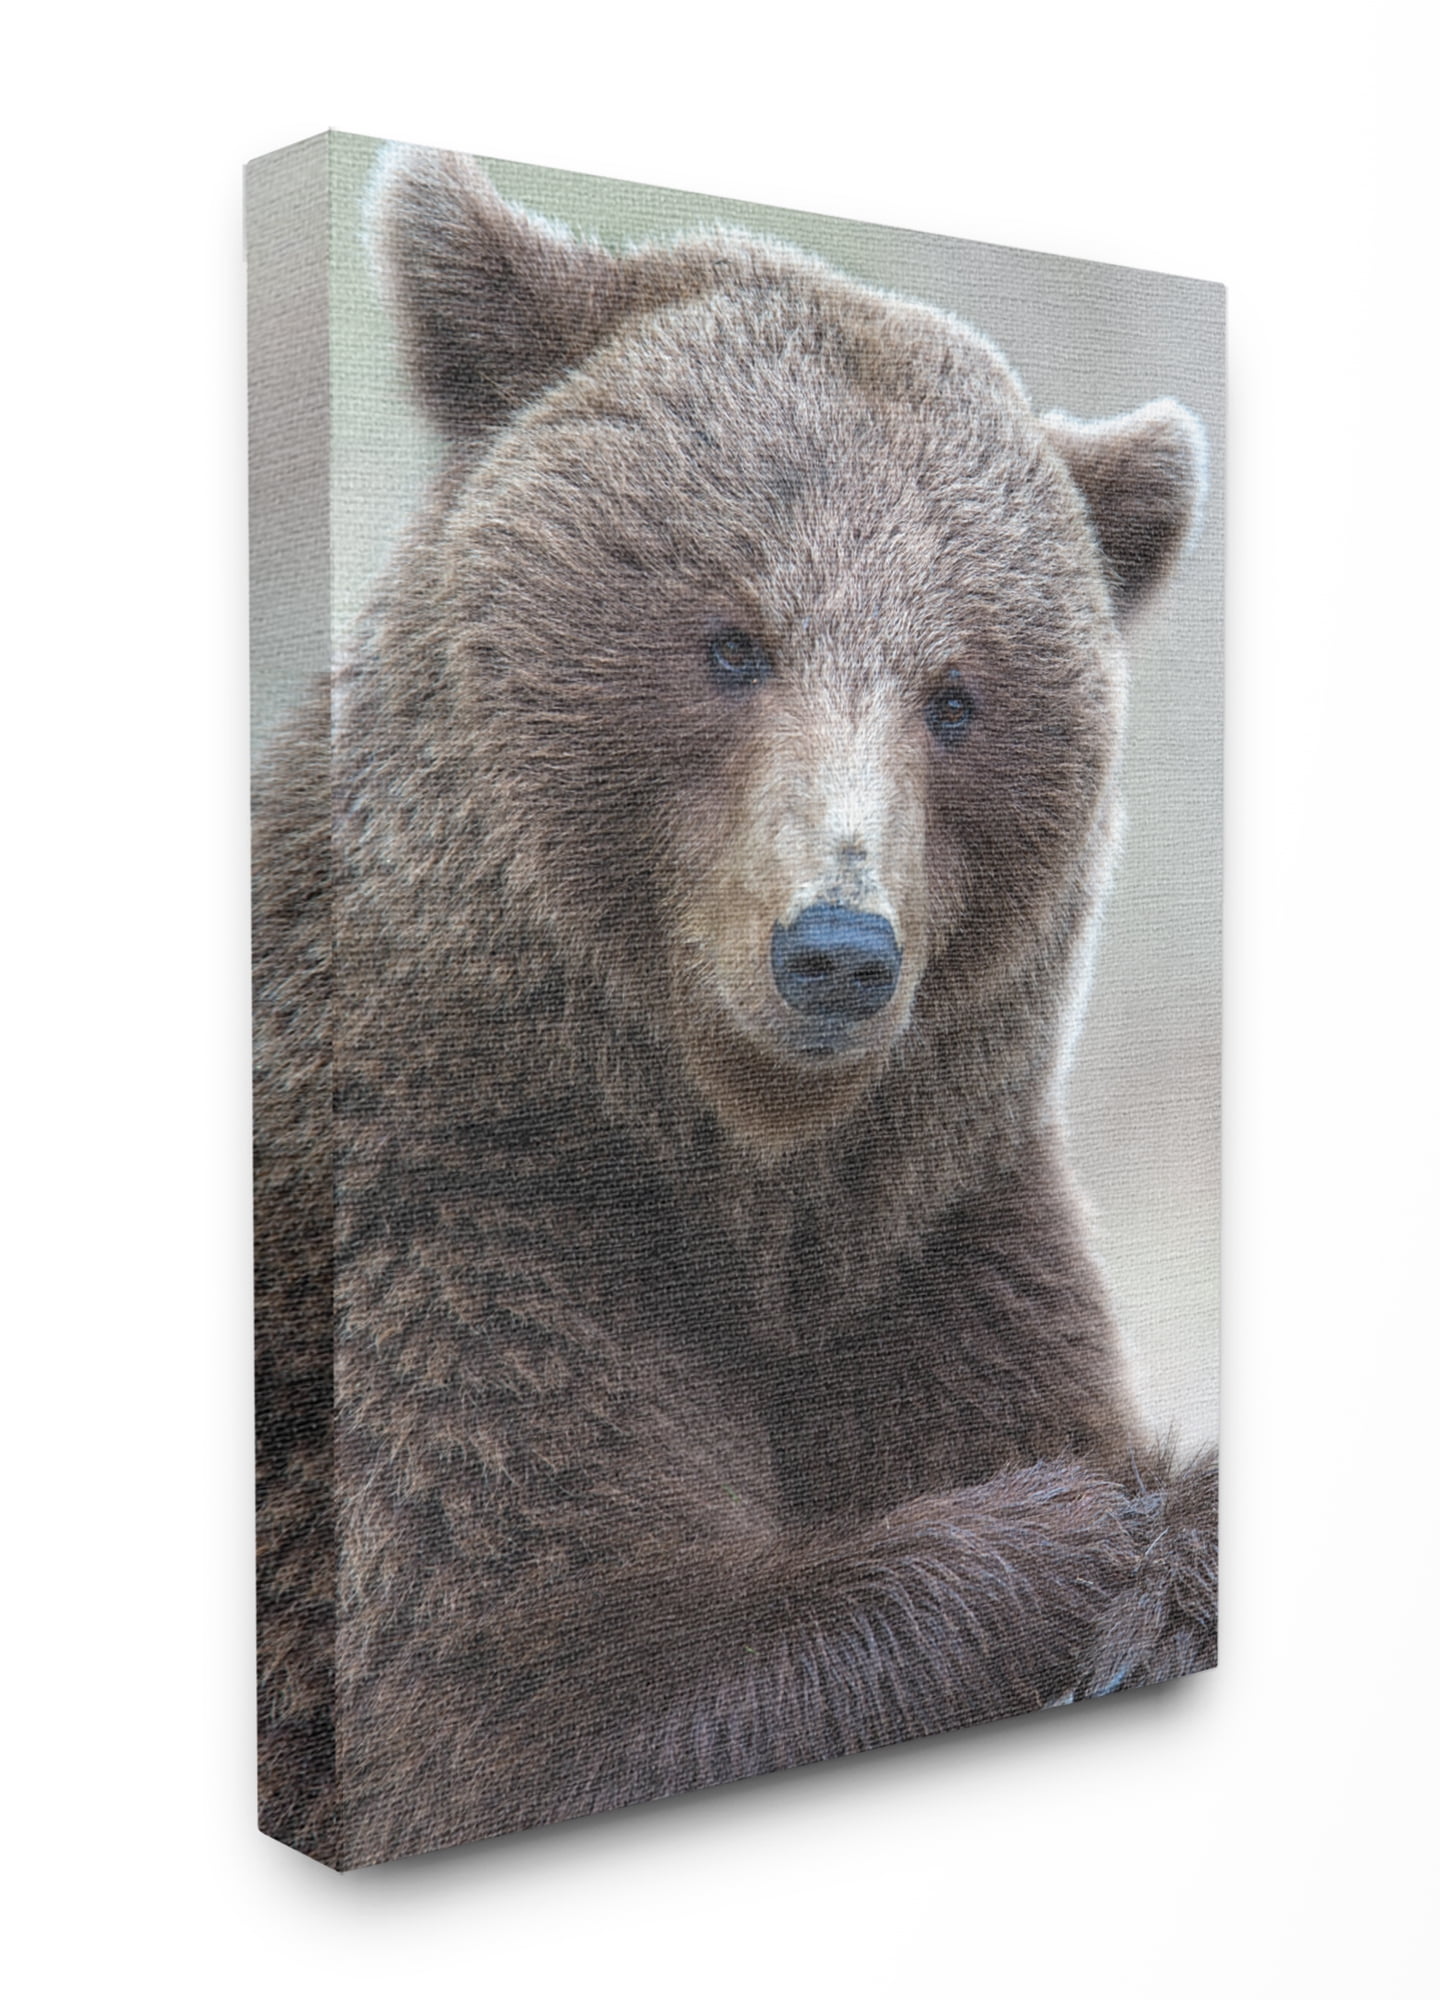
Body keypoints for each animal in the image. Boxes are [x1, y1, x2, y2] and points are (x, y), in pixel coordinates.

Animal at [253, 147, 1218, 1870]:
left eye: (957, 696)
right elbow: (524, 1697)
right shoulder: (457, 1227)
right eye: (730, 640)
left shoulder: (934, 1248)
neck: (743, 1178)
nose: (838, 948)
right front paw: (1094, 1545)